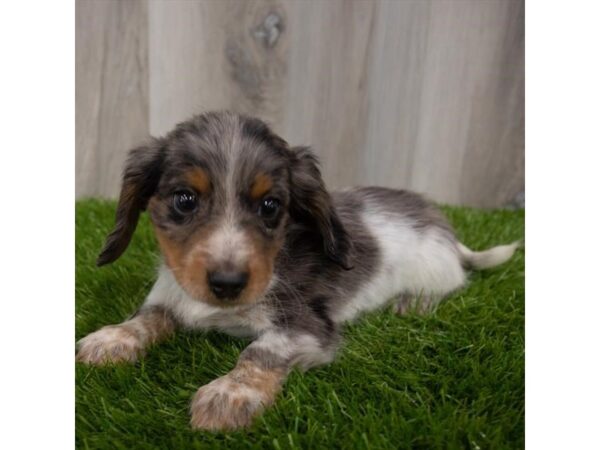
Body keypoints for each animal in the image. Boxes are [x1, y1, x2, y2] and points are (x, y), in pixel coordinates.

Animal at [76, 110, 520, 430]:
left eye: (270, 205)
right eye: (184, 200)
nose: (227, 283)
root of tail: (446, 232)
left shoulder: (307, 325)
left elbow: (260, 350)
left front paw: (229, 394)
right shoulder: (170, 295)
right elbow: (145, 318)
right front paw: (111, 338)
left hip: (436, 272)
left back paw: (415, 302)